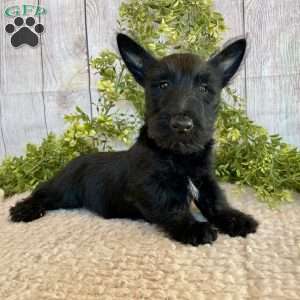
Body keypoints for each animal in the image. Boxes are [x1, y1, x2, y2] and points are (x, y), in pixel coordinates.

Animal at [9, 34, 258, 246]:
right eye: (163, 84)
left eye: (205, 88)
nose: (182, 125)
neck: (178, 155)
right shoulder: (151, 187)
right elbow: (172, 207)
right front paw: (193, 228)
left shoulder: (205, 180)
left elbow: (217, 202)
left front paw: (236, 219)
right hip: (64, 189)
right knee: (42, 192)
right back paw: (24, 210)